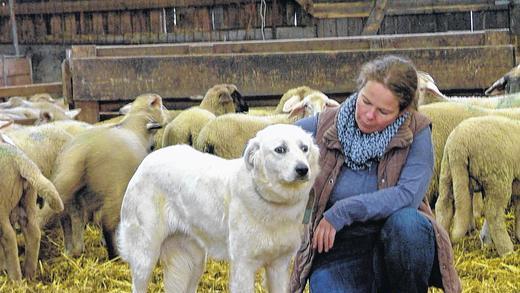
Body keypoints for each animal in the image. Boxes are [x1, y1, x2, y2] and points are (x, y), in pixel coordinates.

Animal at [0, 137, 63, 278]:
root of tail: (19, 158)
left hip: (2, 207)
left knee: (9, 237)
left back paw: (15, 278)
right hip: (27, 198)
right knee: (33, 232)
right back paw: (29, 274)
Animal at [37, 92, 167, 258]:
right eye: (158, 105)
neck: (134, 126)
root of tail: (80, 152)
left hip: (71, 193)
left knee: (69, 218)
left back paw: (72, 250)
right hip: (115, 189)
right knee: (107, 223)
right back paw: (114, 255)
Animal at [118, 124, 318, 292]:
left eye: (304, 148)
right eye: (280, 150)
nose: (303, 169)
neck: (272, 200)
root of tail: (146, 161)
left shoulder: (279, 266)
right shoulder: (243, 265)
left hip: (191, 261)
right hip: (145, 255)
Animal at [436, 114, 516, 256]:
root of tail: (458, 145)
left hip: (447, 172)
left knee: (443, 205)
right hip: (497, 178)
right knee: (494, 214)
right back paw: (507, 251)